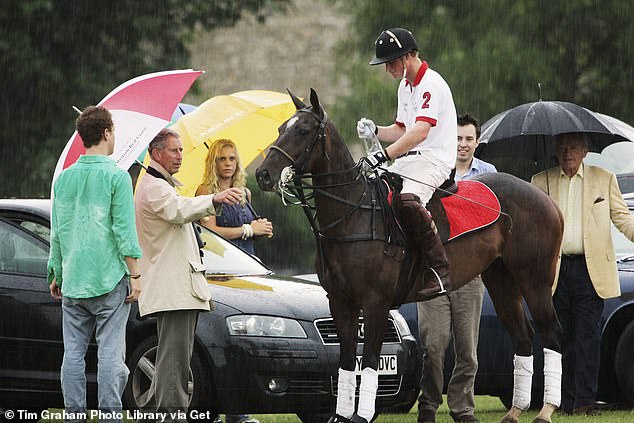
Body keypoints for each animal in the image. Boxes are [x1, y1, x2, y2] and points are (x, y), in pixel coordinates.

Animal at [256, 90, 564, 423]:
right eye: (279, 129)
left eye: (302, 131)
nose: (262, 175)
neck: (353, 215)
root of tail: (546, 198)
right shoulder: (339, 301)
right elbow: (348, 361)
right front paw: (341, 416)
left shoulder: (375, 302)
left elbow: (369, 360)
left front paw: (362, 416)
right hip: (500, 279)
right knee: (523, 337)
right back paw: (515, 412)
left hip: (535, 280)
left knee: (551, 334)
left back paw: (545, 410)